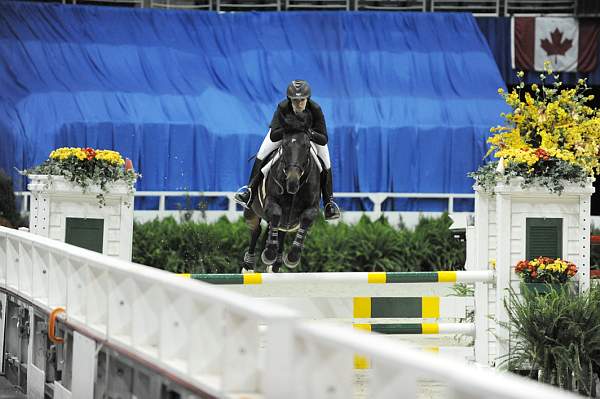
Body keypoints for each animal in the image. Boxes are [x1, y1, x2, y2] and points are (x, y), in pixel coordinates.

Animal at [241, 130, 322, 274]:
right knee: (256, 230)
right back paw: (248, 265)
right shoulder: (271, 202)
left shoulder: (312, 208)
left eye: (307, 147)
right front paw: (269, 254)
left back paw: (276, 264)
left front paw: (292, 257)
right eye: (284, 146)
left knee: (281, 231)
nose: (292, 183)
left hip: (286, 222)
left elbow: (306, 220)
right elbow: (275, 214)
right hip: (251, 211)